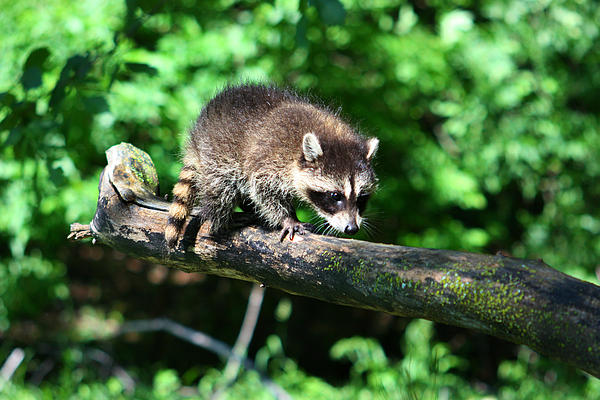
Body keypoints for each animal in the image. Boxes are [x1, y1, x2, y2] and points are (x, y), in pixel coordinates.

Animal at [164, 83, 380, 247]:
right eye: (335, 196)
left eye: (362, 197)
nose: (352, 228)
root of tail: (196, 137)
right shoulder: (268, 157)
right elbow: (263, 189)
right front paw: (288, 218)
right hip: (217, 153)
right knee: (221, 190)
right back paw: (220, 219)